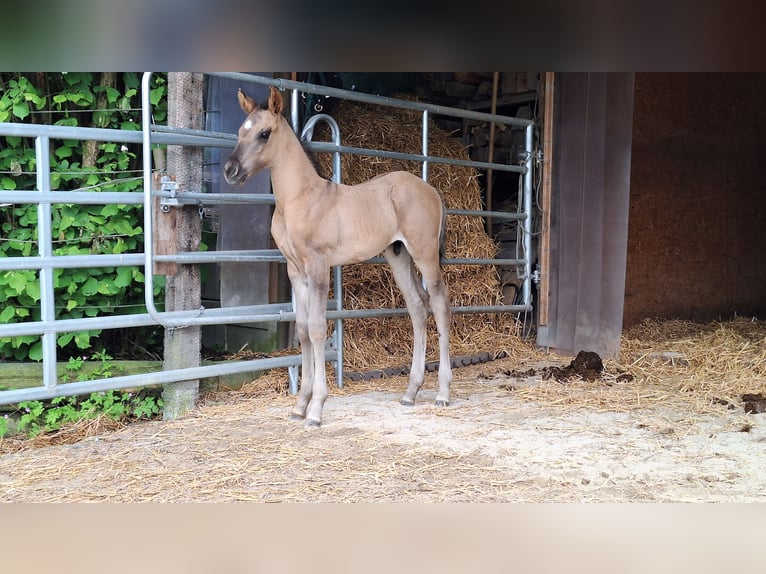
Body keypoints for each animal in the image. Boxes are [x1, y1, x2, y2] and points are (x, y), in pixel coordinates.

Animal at [224, 86, 452, 427]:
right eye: (240, 132)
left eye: (264, 133)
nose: (230, 171)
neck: (300, 199)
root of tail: (431, 190)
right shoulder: (295, 270)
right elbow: (303, 331)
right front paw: (299, 406)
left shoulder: (318, 266)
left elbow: (318, 329)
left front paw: (316, 409)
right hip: (398, 255)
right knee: (417, 306)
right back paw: (410, 393)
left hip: (424, 253)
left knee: (439, 303)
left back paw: (442, 393)